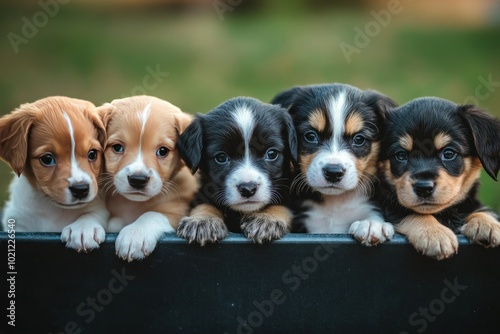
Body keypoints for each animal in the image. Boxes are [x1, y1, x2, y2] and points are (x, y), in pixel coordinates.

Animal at [0, 96, 109, 250]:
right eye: (47, 159)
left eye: (92, 154)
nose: (80, 189)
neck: (54, 209)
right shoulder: (19, 220)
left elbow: (93, 213)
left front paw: (82, 228)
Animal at [97, 95, 197, 262]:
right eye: (117, 147)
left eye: (162, 151)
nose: (138, 179)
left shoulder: (180, 208)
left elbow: (152, 214)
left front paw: (135, 234)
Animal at [175, 96, 296, 245]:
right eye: (221, 157)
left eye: (272, 154)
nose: (248, 189)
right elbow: (204, 204)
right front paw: (202, 220)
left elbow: (282, 205)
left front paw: (266, 218)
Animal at [378, 98, 500, 260]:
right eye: (401, 155)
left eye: (448, 153)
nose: (423, 188)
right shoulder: (391, 208)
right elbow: (413, 213)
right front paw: (435, 234)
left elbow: (475, 210)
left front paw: (487, 223)